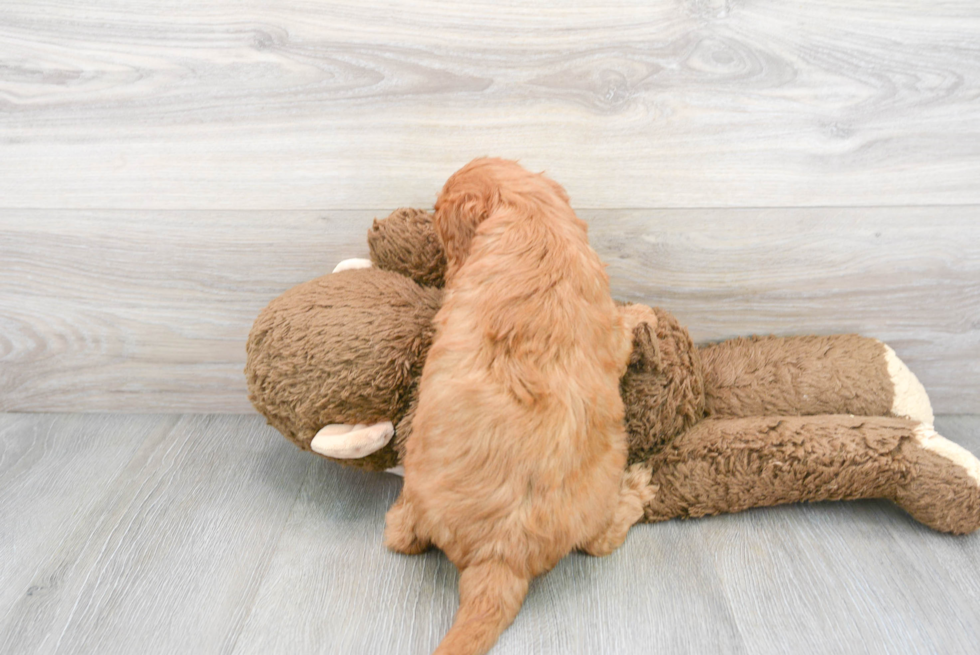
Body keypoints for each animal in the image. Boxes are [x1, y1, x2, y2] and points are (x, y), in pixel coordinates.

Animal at [386, 159, 656, 655]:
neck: (530, 218)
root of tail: (500, 554)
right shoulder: (609, 330)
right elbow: (624, 330)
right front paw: (643, 313)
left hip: (413, 488)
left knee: (398, 534)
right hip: (604, 479)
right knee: (600, 543)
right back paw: (638, 487)